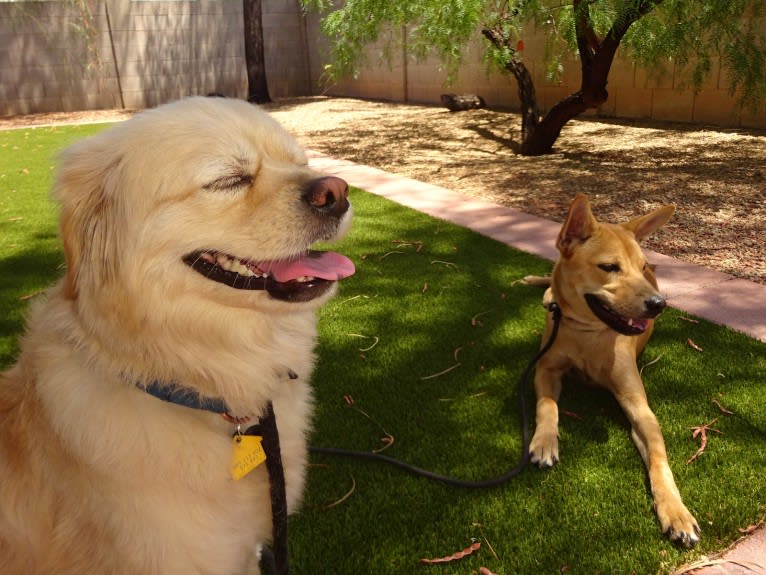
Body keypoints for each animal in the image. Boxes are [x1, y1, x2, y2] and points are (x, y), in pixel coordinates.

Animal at [528, 195, 704, 548]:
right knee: (548, 289)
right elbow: (547, 405)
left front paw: (676, 511)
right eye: (609, 267)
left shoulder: (639, 407)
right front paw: (545, 441)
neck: (588, 333)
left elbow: (660, 459)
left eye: (643, 266)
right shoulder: (545, 367)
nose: (659, 304)